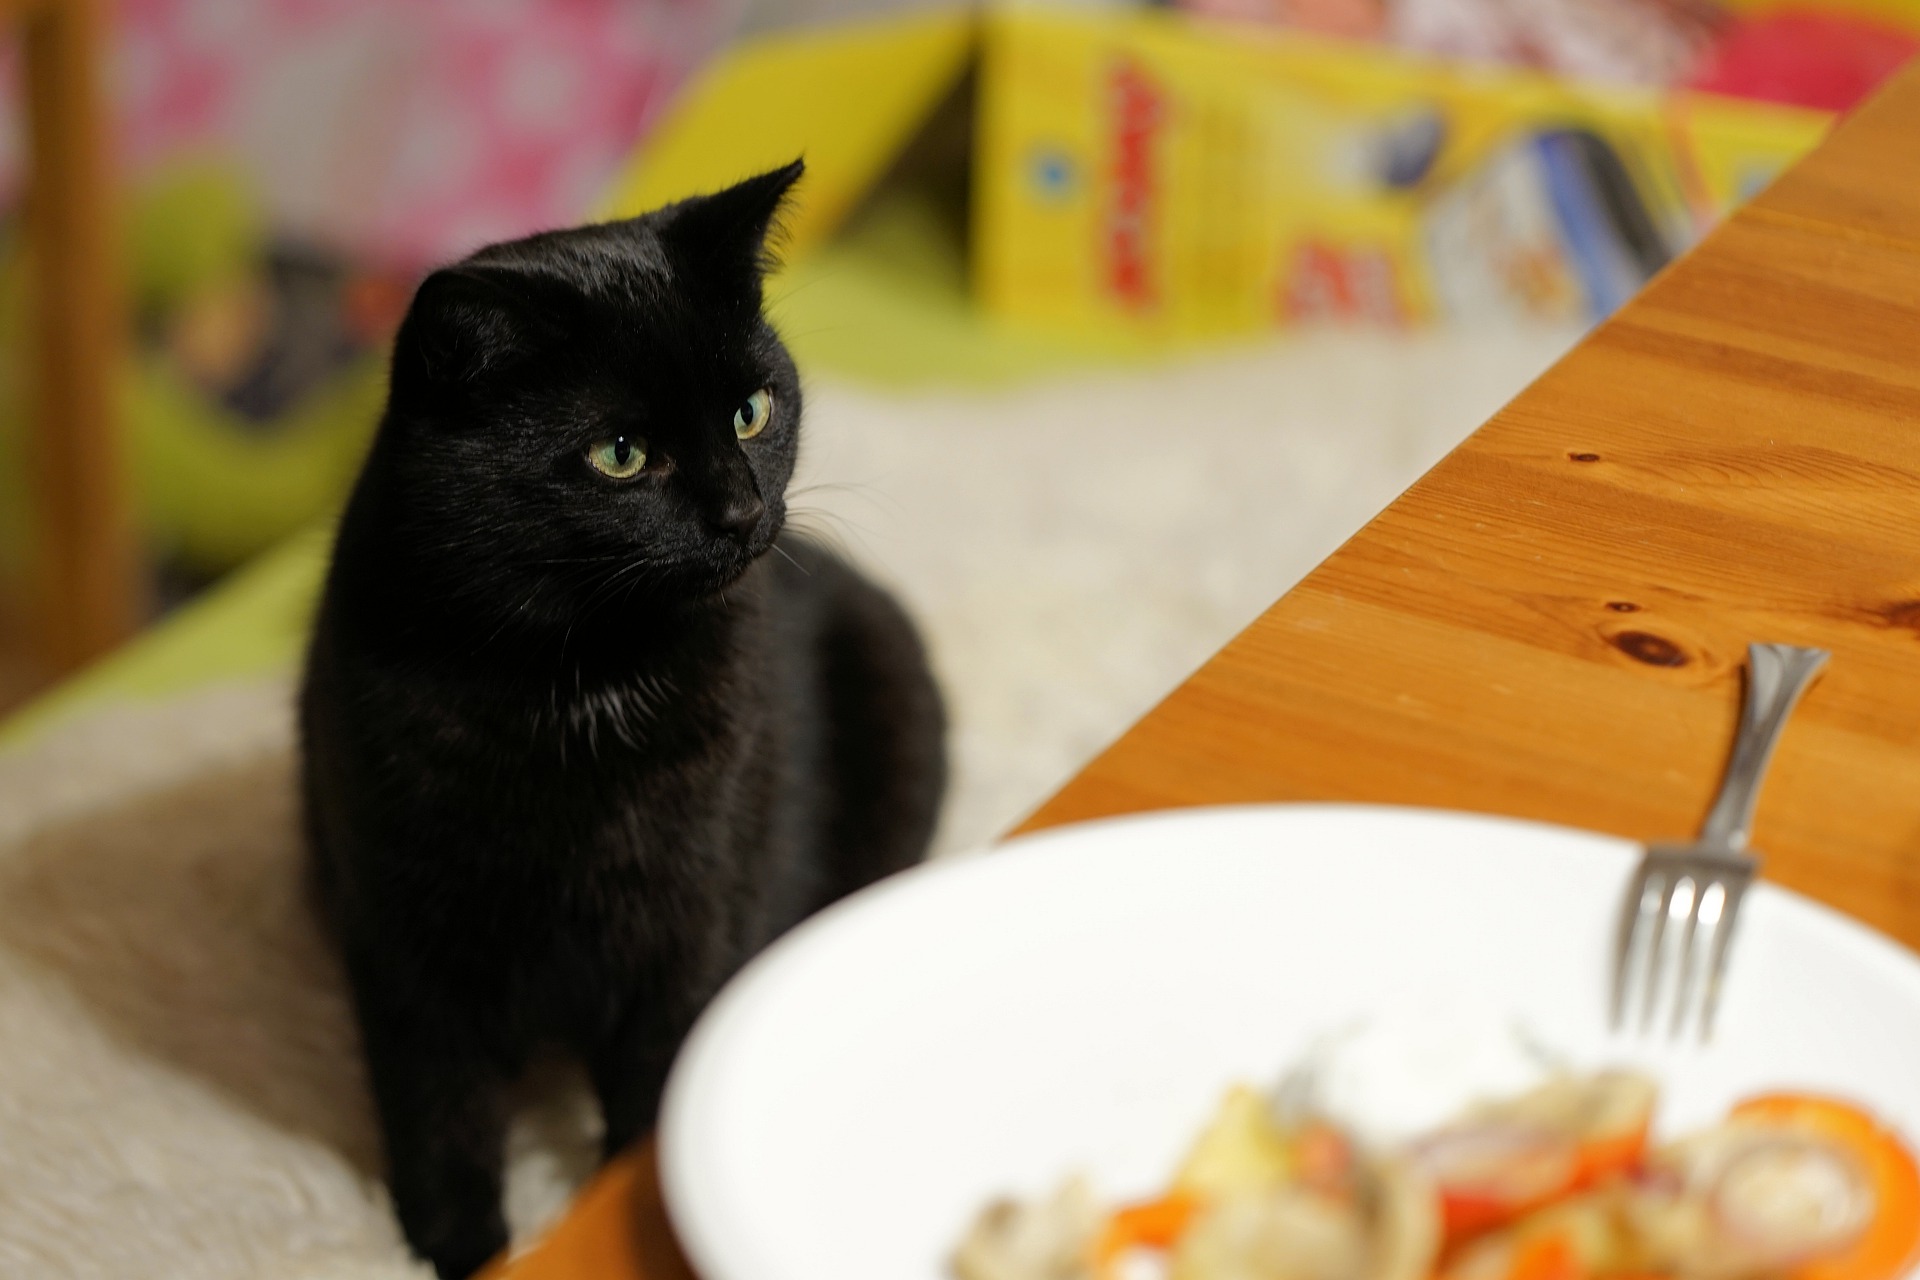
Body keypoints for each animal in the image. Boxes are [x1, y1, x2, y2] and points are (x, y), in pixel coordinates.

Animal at [297, 163, 944, 1280]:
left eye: (751, 410)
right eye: (620, 453)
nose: (741, 513)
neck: (576, 677)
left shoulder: (692, 905)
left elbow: (657, 1074)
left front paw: (626, 1206)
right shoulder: (405, 929)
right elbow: (439, 1109)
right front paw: (463, 1248)